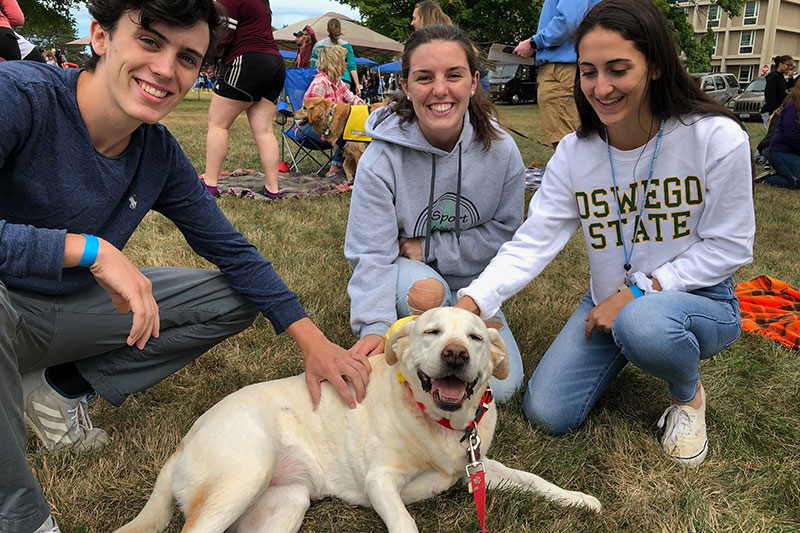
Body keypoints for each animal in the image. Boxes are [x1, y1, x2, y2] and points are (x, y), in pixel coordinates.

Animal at [114, 308, 600, 532]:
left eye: (476, 338)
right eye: (431, 332)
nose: (456, 355)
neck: (439, 425)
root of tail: (185, 439)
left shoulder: (478, 468)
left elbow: (534, 480)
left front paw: (578, 500)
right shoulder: (380, 481)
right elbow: (405, 523)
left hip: (284, 504)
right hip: (243, 474)